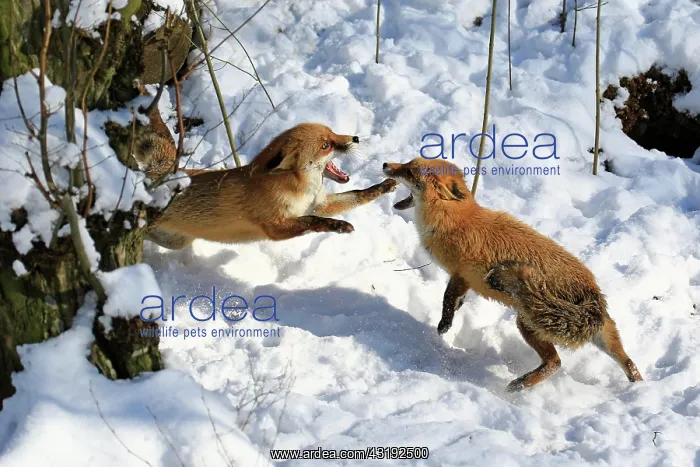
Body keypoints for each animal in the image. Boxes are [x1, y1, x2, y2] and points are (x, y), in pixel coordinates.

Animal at [145, 123, 397, 249]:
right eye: (326, 145)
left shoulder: (319, 203)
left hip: (173, 242)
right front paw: (338, 225)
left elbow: (358, 194)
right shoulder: (276, 227)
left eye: (333, 132)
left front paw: (383, 186)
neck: (299, 190)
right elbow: (312, 221)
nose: (355, 138)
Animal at [383, 157, 643, 392]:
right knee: (628, 362)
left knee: (555, 362)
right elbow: (457, 300)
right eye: (408, 163)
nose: (386, 165)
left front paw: (444, 326)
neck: (453, 220)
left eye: (410, 171)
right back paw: (637, 388)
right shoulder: (466, 280)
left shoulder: (461, 274)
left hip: (527, 322)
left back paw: (519, 385)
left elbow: (447, 300)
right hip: (602, 337)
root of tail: (592, 293)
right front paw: (455, 311)